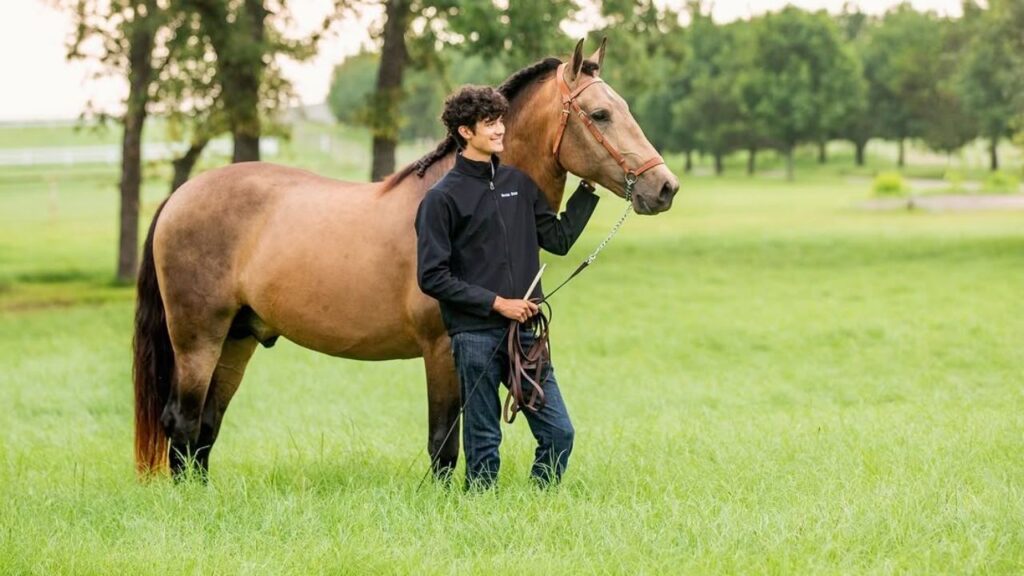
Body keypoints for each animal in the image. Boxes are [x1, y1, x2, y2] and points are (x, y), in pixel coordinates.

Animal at [133, 38, 680, 480]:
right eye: (601, 114)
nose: (664, 186)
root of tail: (179, 196)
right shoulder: (442, 351)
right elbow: (445, 443)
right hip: (199, 339)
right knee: (182, 422)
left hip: (238, 339)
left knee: (206, 425)